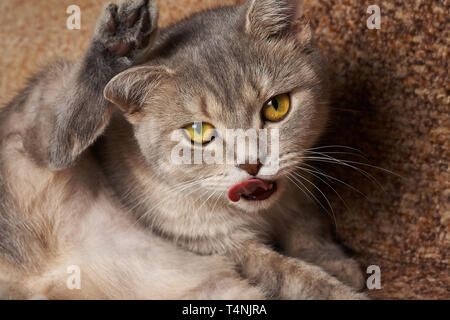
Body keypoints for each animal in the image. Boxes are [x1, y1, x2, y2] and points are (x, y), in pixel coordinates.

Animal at [0, 0, 366, 300]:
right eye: (198, 132)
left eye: (276, 107)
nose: (252, 164)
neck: (266, 212)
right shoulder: (226, 249)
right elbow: (298, 279)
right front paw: (342, 286)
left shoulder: (300, 187)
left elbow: (308, 225)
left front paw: (337, 262)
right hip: (37, 116)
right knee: (53, 142)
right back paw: (118, 39)